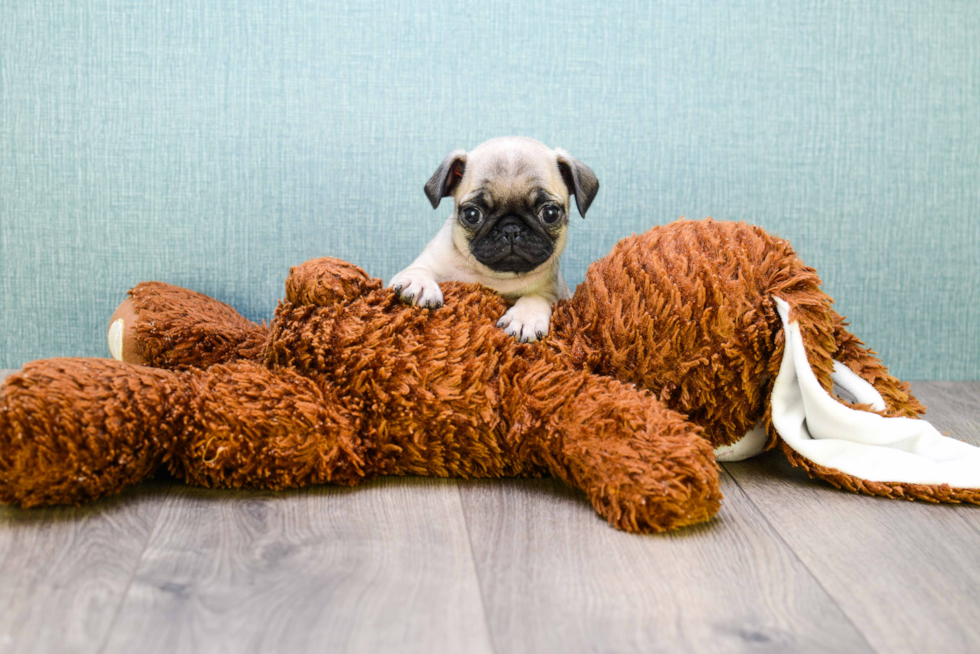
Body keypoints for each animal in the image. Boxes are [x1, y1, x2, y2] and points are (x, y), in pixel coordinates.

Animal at [388, 137, 596, 344]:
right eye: (472, 215)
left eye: (550, 213)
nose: (511, 228)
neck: (495, 278)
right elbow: (418, 269)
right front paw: (419, 284)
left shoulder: (556, 293)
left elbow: (536, 296)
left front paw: (524, 318)